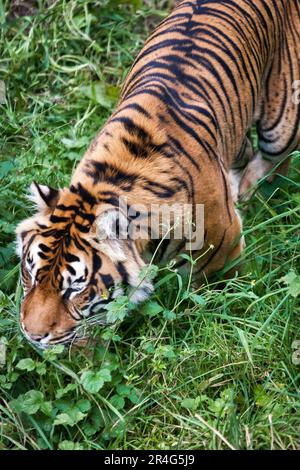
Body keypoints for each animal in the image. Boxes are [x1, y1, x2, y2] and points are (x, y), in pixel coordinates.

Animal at [15, 0, 300, 346]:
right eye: (30, 273)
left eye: (74, 289)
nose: (31, 335)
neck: (108, 180)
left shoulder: (224, 243)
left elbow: (214, 290)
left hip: (282, 123)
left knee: (277, 161)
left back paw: (253, 193)